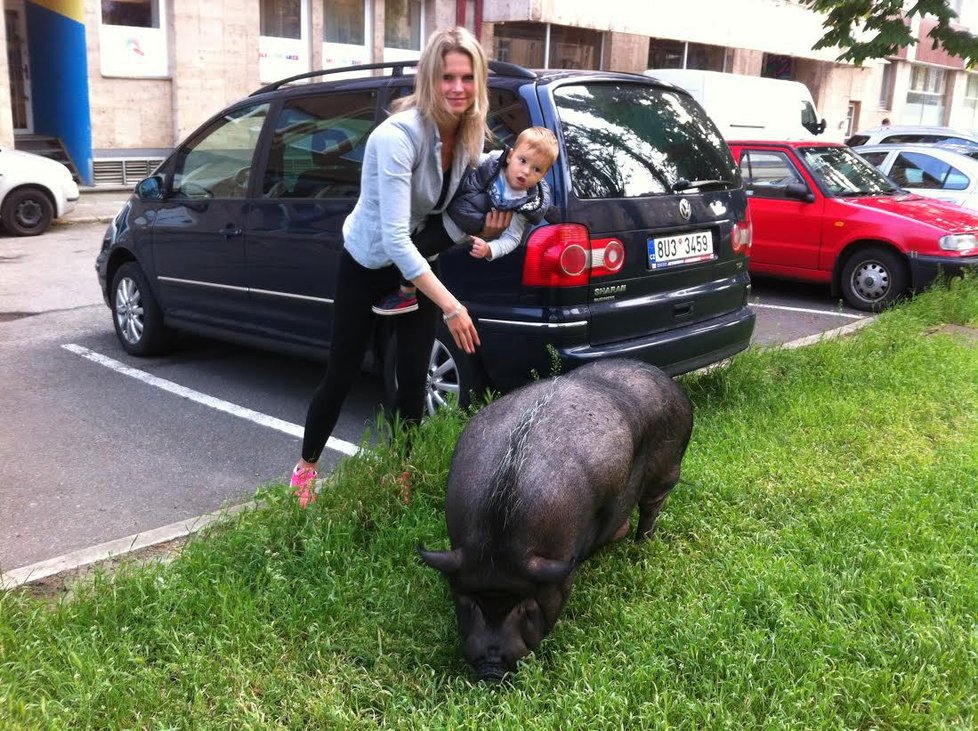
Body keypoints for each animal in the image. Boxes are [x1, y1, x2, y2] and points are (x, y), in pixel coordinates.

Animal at [416, 358, 692, 680]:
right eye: (469, 601)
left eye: (525, 605)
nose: (491, 668)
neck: (499, 530)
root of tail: (663, 377)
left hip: (669, 468)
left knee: (651, 509)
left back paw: (643, 544)